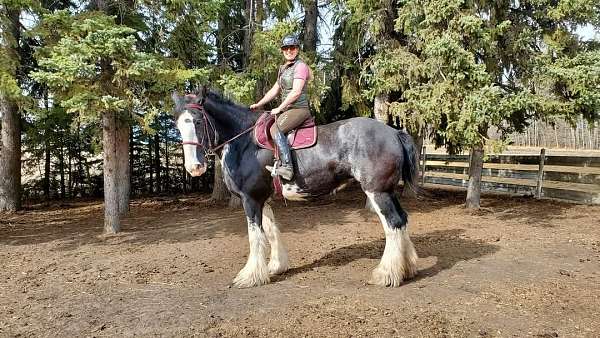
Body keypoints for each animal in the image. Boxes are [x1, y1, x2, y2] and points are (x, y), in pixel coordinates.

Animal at [171, 89, 420, 288]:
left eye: (198, 121)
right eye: (178, 124)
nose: (194, 167)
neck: (245, 142)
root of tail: (394, 132)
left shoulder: (250, 199)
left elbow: (255, 236)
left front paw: (250, 276)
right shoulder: (262, 199)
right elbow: (270, 231)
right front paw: (275, 266)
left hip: (377, 192)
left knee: (393, 224)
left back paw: (386, 274)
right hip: (387, 192)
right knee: (403, 219)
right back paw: (407, 268)